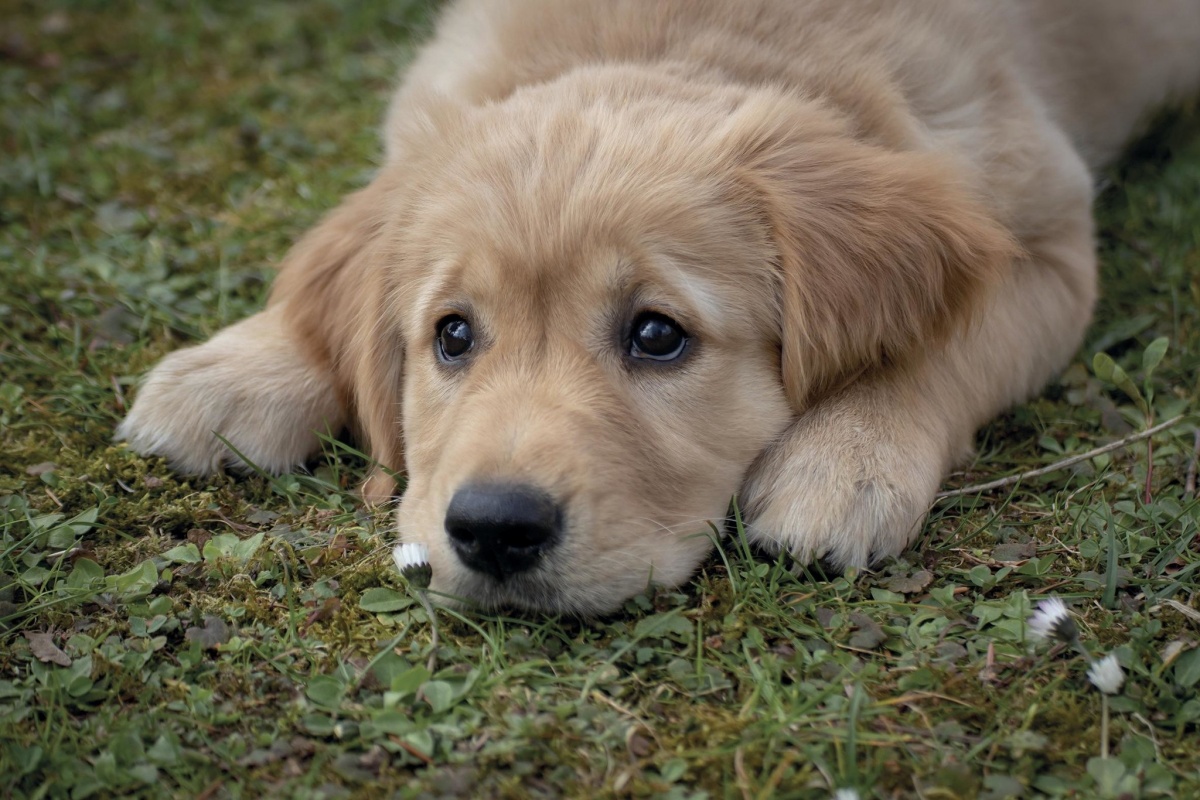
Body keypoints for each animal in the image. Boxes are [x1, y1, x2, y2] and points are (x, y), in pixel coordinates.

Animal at [117, 0, 1200, 614]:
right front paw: (239, 367)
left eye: (657, 335)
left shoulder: (1048, 240)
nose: (494, 529)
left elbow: (943, 343)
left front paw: (847, 457)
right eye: (451, 334)